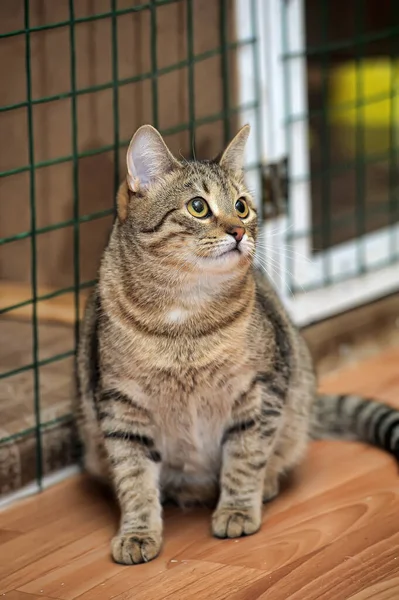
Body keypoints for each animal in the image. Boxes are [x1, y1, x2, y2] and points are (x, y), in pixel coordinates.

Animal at [76, 124, 399, 564]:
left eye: (242, 206)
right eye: (198, 206)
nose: (240, 231)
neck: (184, 320)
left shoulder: (260, 391)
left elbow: (245, 458)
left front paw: (237, 510)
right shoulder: (119, 404)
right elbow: (133, 477)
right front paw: (138, 532)